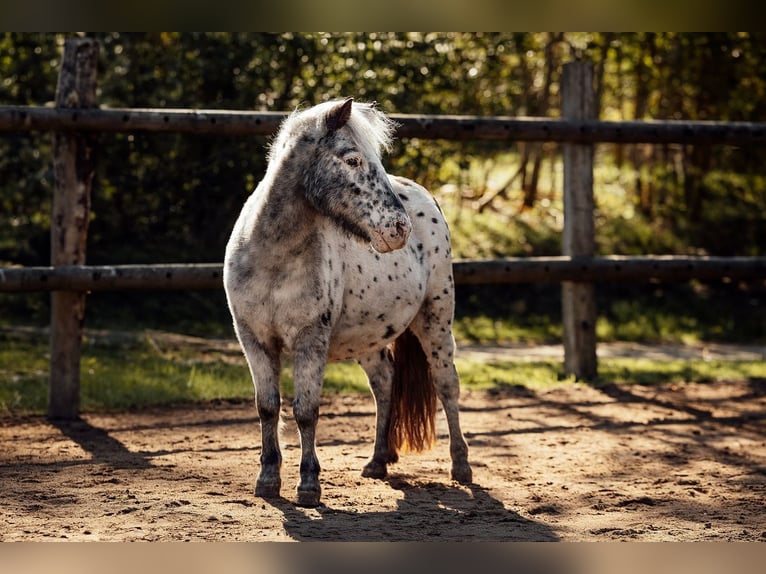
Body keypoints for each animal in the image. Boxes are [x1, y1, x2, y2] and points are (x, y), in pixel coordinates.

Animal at [223, 97, 472, 507]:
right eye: (353, 159)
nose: (399, 228)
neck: (273, 258)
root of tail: (426, 198)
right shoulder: (254, 340)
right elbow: (268, 407)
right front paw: (268, 480)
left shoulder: (311, 341)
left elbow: (306, 411)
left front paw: (308, 484)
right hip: (369, 340)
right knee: (385, 384)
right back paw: (377, 461)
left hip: (436, 321)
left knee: (447, 385)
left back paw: (461, 467)